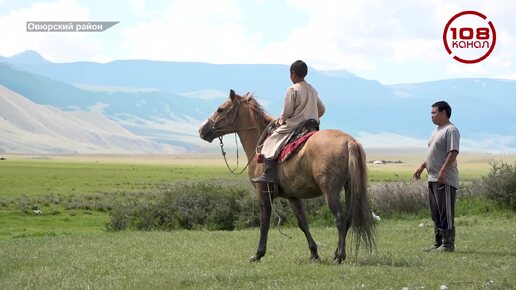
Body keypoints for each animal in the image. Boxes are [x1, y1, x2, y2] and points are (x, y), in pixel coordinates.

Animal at [199, 89, 374, 262]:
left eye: (220, 109)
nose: (202, 130)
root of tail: (349, 142)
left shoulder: (263, 193)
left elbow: (264, 224)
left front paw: (258, 254)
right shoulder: (292, 196)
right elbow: (303, 223)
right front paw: (314, 253)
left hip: (330, 191)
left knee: (340, 218)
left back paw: (340, 256)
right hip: (349, 188)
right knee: (348, 218)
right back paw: (337, 253)